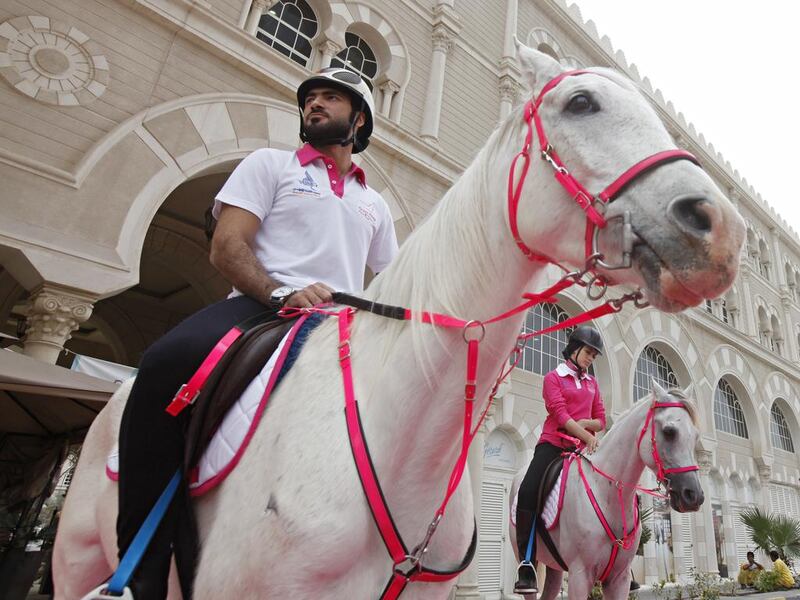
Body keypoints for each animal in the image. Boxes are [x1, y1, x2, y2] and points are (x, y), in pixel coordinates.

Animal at [512, 382, 700, 596]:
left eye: (695, 437)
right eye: (669, 432)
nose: (694, 495)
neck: (606, 492)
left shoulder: (619, 579)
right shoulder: (579, 575)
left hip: (554, 566)